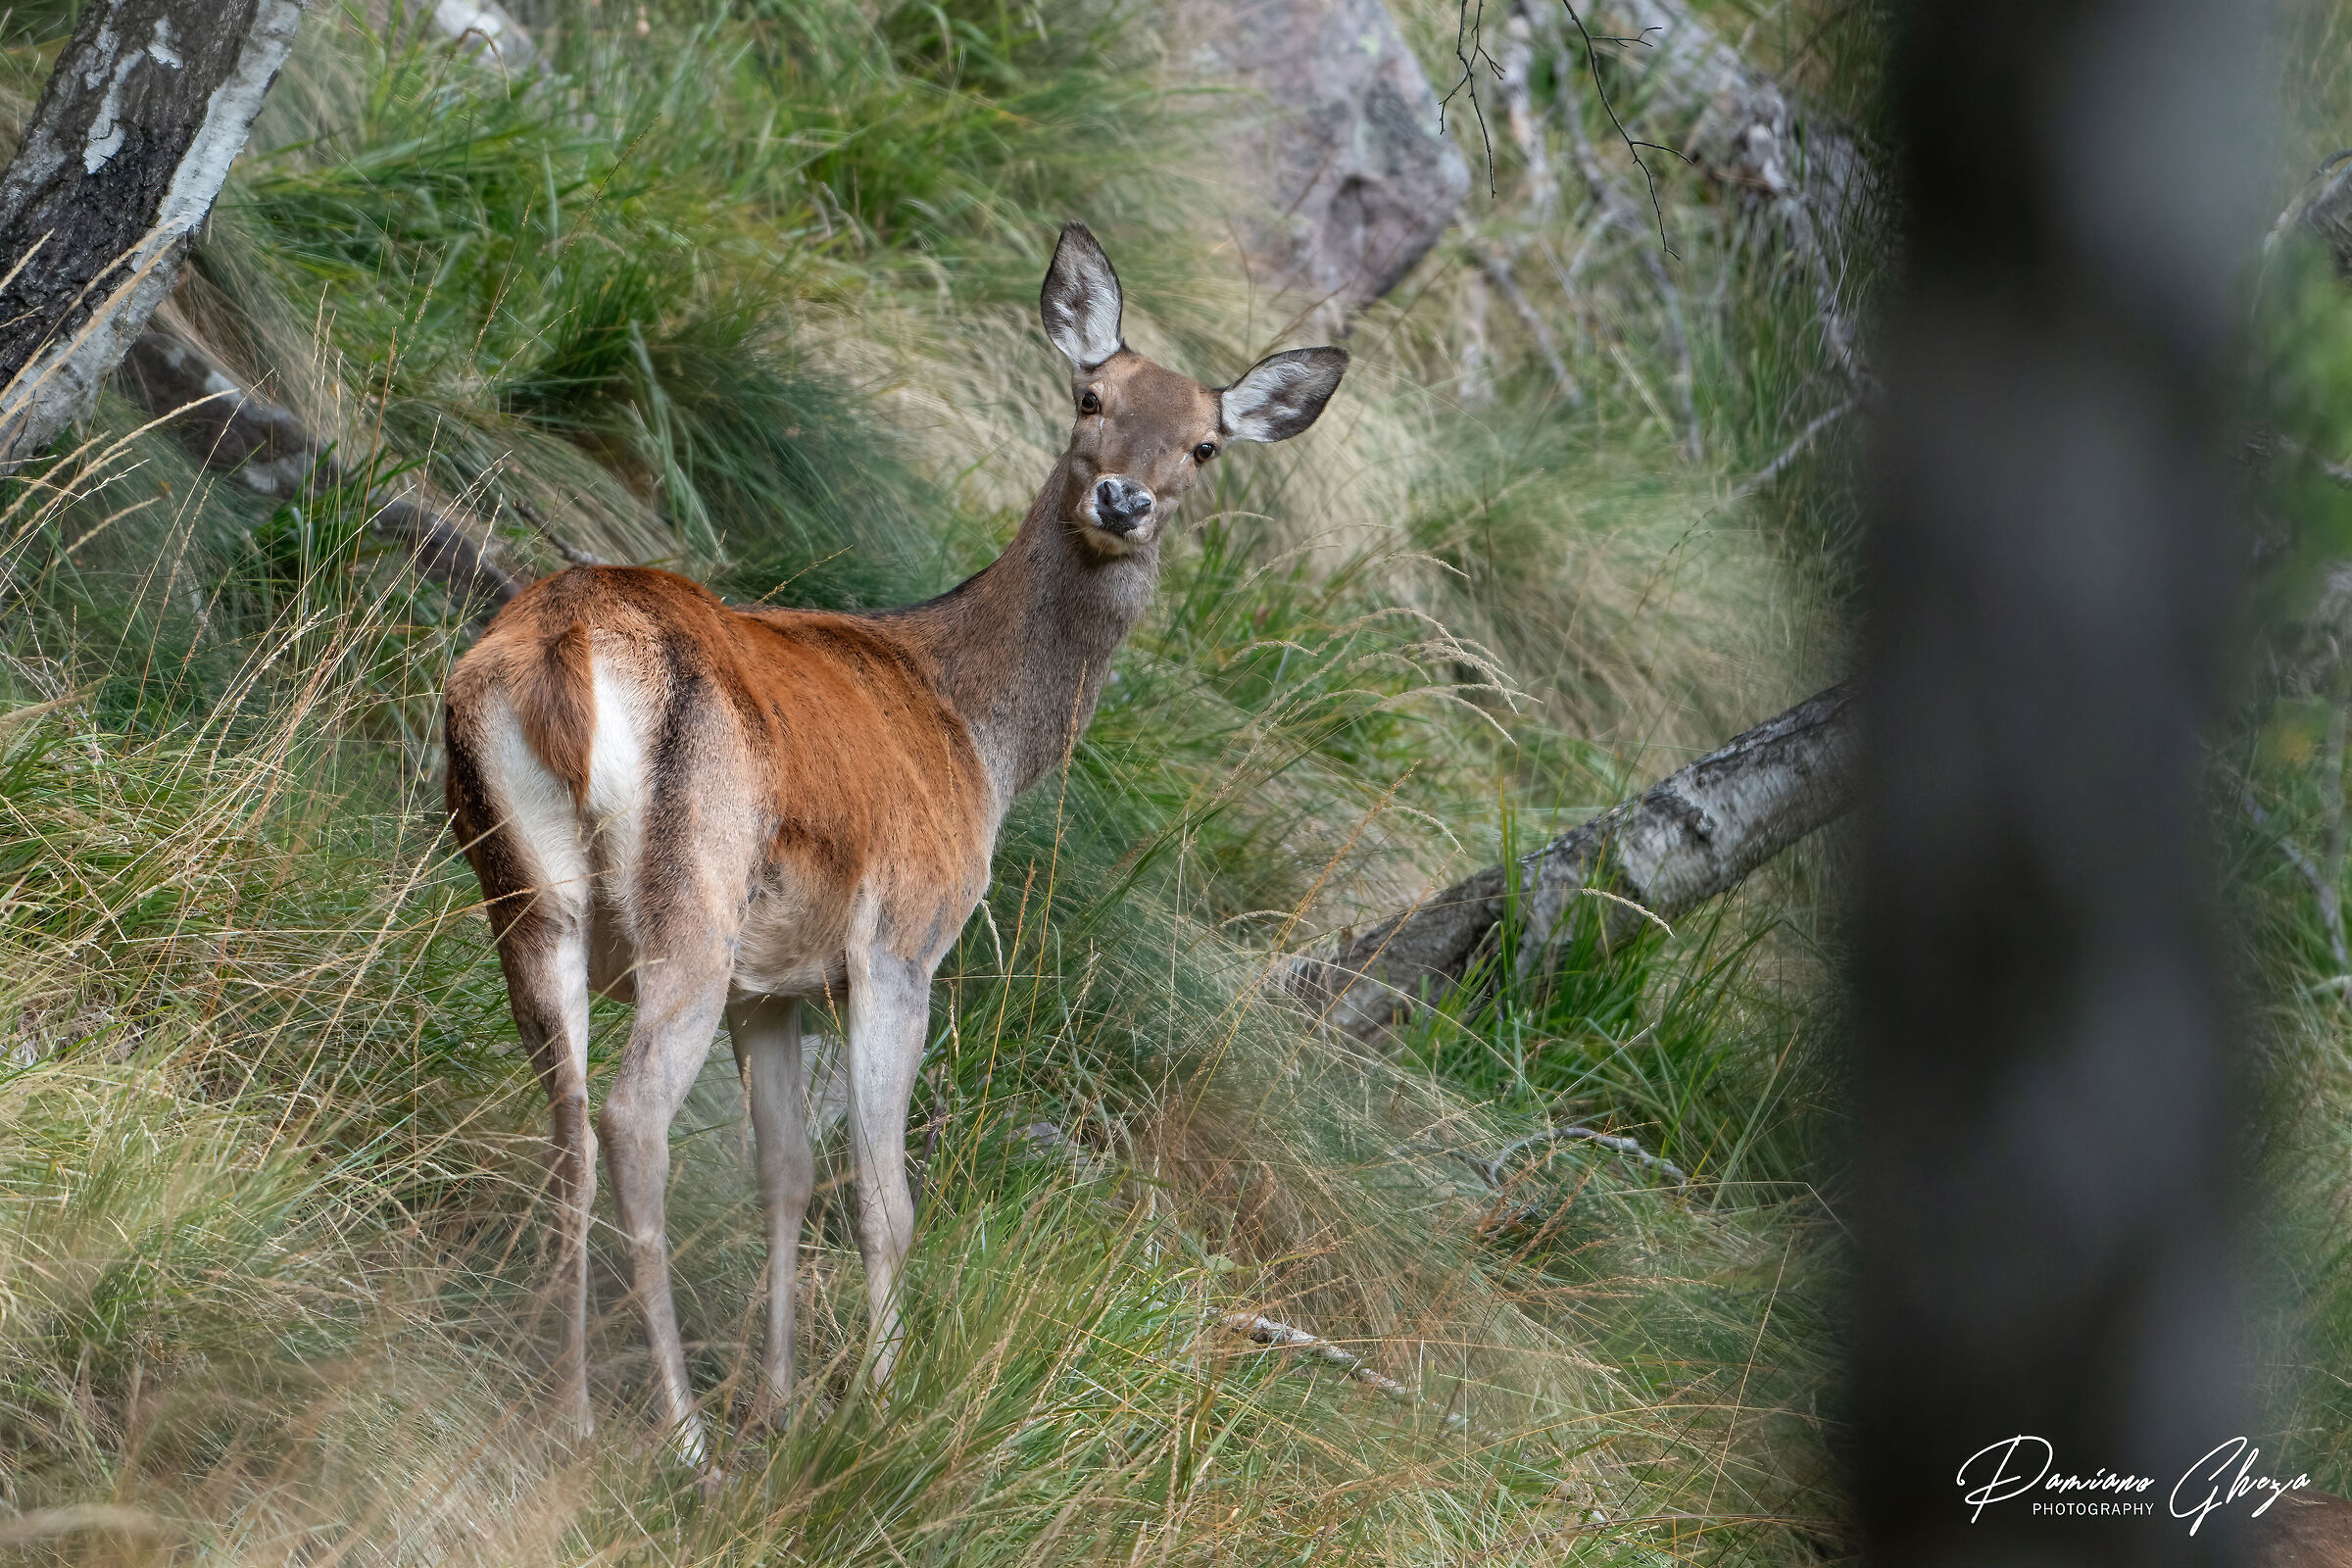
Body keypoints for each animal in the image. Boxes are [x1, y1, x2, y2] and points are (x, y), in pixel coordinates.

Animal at [441, 223, 1347, 1466]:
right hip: (692, 899)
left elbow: (783, 1173)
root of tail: (562, 647)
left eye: (1204, 446)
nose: (1121, 498)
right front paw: (869, 1407)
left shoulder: (771, 988)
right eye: (1090, 396)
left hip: (523, 890)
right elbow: (885, 1201)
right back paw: (681, 1438)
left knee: (572, 1119)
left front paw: (779, 1399)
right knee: (632, 1120)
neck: (981, 736)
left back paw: (572, 1405)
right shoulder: (902, 945)